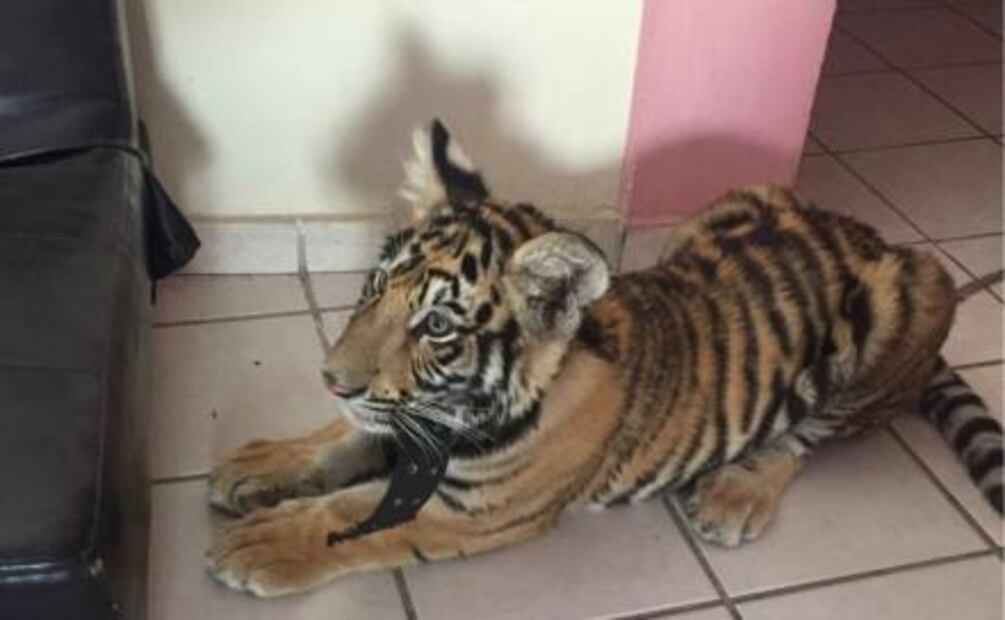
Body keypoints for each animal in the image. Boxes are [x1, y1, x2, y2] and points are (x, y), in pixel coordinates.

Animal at [205, 119, 1004, 597]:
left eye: (436, 325)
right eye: (375, 288)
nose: (331, 379)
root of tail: (867, 234)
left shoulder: (474, 512)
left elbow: (353, 513)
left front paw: (256, 545)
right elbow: (339, 440)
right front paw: (256, 465)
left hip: (912, 294)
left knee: (806, 436)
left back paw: (734, 493)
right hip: (729, 203)